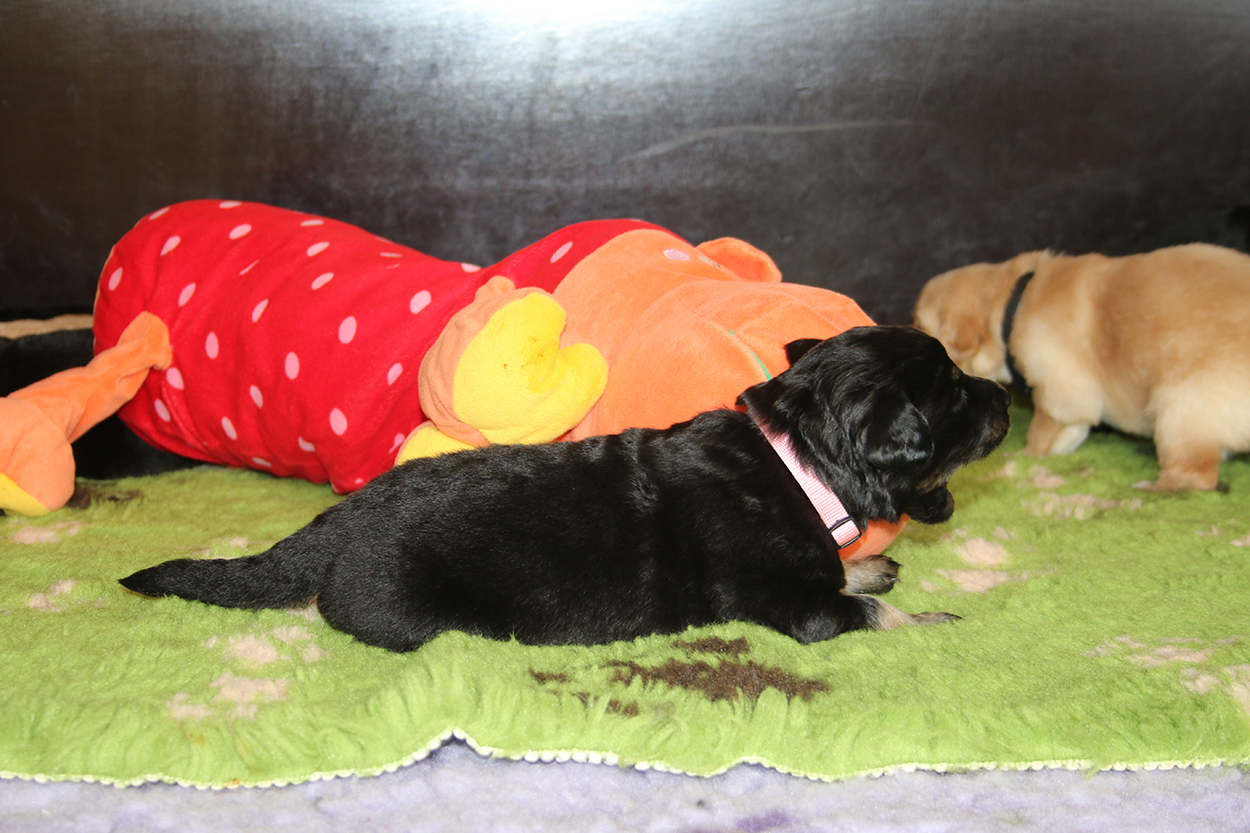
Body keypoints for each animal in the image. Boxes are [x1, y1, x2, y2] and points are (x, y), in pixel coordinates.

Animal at [120, 326, 1010, 652]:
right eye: (955, 396)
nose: (1007, 396)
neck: (798, 458)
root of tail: (338, 517)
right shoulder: (800, 610)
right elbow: (864, 612)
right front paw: (930, 616)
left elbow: (846, 572)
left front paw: (866, 562)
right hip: (402, 609)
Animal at [913, 243, 1250, 490]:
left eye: (919, 324)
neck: (1013, 304)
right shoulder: (1075, 405)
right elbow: (1069, 433)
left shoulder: (1056, 392)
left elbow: (1039, 431)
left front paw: (1024, 457)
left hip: (1177, 410)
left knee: (1195, 475)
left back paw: (1150, 488)